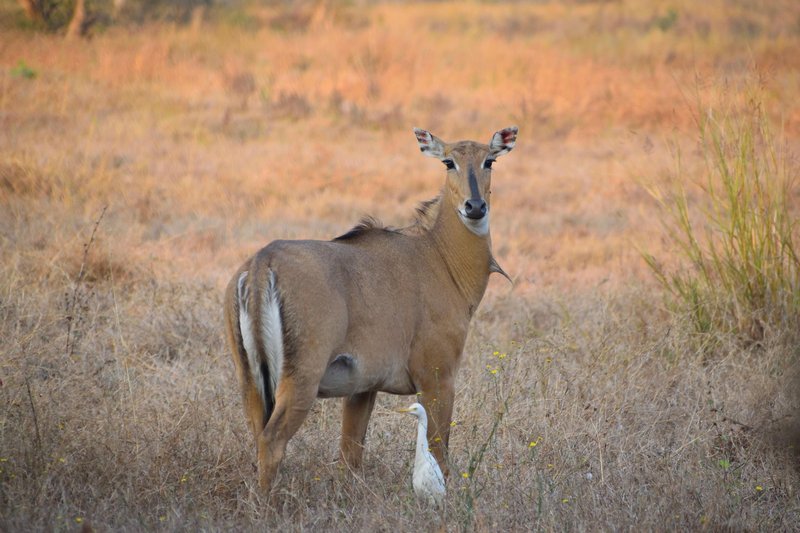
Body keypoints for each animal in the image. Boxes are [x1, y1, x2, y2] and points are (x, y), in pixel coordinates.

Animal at [223, 126, 517, 492]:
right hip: (301, 379)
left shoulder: (362, 388)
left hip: (250, 381)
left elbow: (350, 457)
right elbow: (439, 459)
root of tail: (262, 263)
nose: (475, 206)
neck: (438, 255)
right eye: (448, 162)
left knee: (258, 435)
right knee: (272, 441)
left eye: (490, 160)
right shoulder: (438, 378)